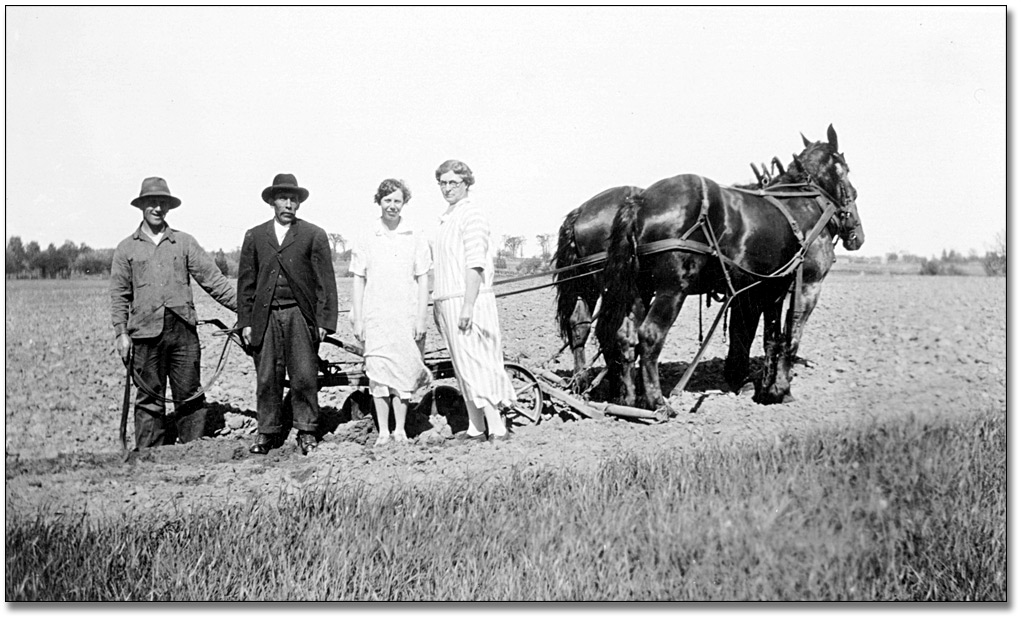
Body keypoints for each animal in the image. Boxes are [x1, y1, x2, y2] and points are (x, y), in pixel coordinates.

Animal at [596, 124, 866, 414]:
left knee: (625, 336)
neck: (805, 202)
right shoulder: (808, 285)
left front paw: (765, 388)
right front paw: (781, 390)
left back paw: (627, 400)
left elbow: (770, 339)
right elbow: (791, 336)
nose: (857, 234)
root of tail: (641, 201)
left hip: (640, 288)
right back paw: (657, 403)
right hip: (672, 289)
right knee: (649, 335)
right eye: (846, 169)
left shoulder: (768, 288)